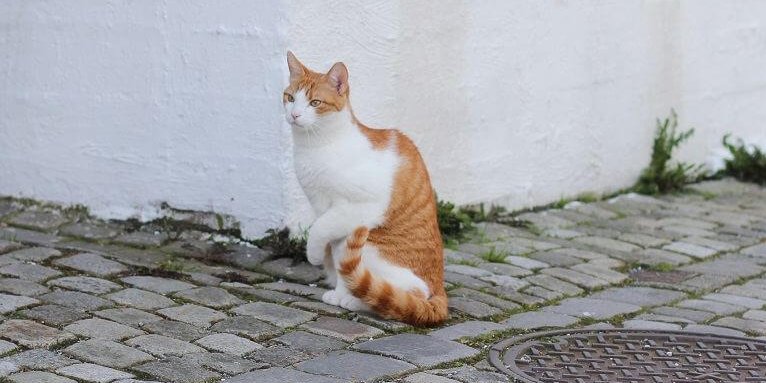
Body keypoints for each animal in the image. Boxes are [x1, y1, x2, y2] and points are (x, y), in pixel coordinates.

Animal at [284, 51, 450, 328]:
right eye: (290, 98)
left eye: (315, 102)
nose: (294, 114)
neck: (316, 146)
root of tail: (440, 288)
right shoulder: (325, 209)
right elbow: (338, 255)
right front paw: (339, 289)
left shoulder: (356, 209)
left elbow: (319, 231)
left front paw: (316, 257)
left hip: (372, 245)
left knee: (410, 294)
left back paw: (359, 301)